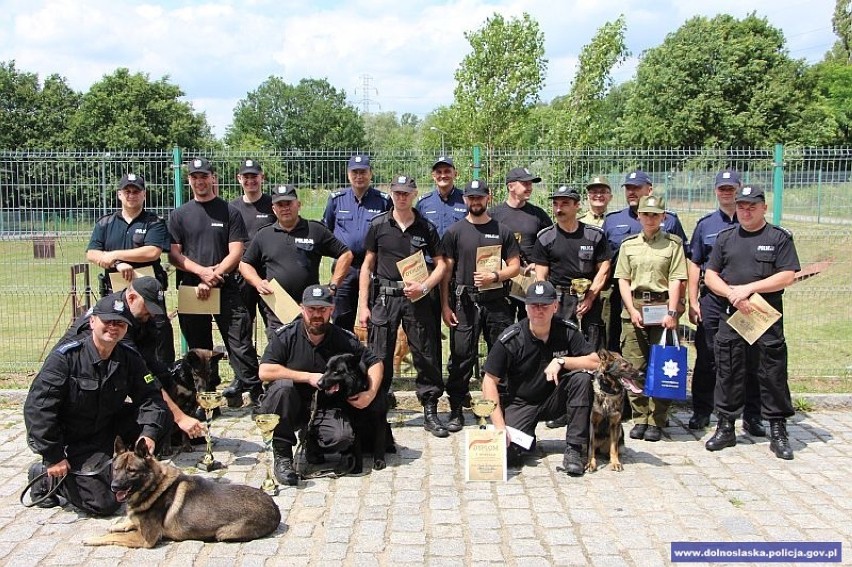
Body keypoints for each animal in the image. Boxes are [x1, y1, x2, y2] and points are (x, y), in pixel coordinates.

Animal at [22, 300, 170, 516]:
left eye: (132, 471)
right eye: (117, 470)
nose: (115, 486)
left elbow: (148, 395)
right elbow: (43, 405)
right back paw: (43, 479)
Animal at [83, 438, 278, 548]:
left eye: (131, 471)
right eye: (116, 469)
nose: (114, 487)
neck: (154, 487)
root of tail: (276, 510)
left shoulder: (146, 539)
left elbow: (114, 536)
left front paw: (92, 538)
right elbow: (128, 523)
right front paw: (119, 524)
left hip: (223, 533)